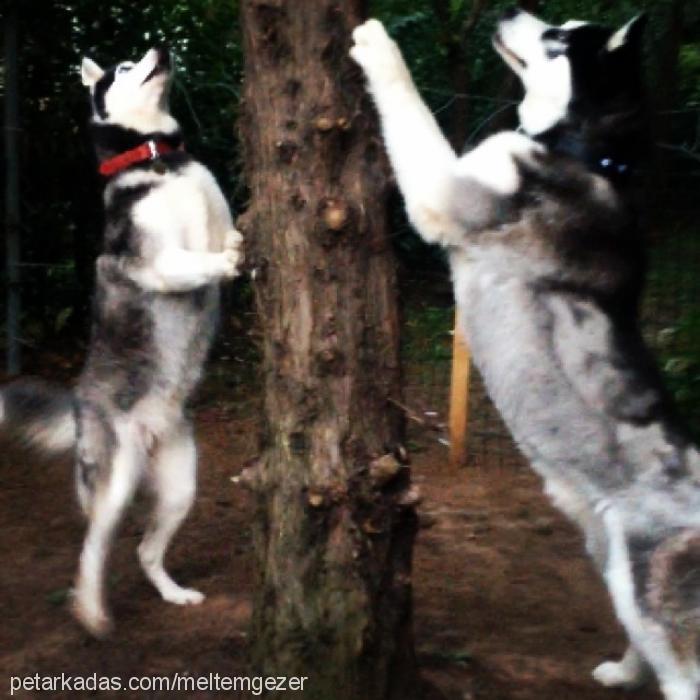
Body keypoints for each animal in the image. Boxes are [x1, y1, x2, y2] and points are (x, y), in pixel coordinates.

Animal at [0, 43, 243, 636]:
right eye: (126, 68)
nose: (161, 47)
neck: (156, 159)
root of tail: (79, 403)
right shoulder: (155, 263)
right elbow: (195, 261)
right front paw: (226, 262)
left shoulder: (216, 212)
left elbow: (229, 228)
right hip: (115, 479)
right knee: (93, 547)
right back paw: (90, 610)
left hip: (181, 486)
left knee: (144, 552)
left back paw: (173, 593)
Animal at [352, 6, 700, 700]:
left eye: (557, 38)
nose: (508, 10)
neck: (589, 152)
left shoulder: (443, 188)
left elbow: (410, 103)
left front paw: (378, 42)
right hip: (610, 559)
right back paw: (622, 671)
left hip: (656, 596)